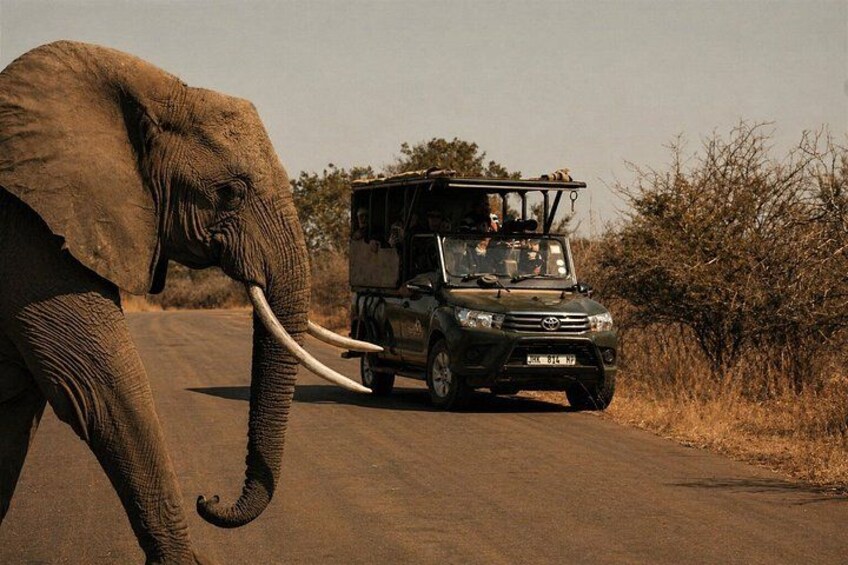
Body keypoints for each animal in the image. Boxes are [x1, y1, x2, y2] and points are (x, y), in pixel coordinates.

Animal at [0, 41, 379, 563]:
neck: (152, 88)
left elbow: (18, 409)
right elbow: (99, 387)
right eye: (232, 192)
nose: (209, 498)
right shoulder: (30, 230)